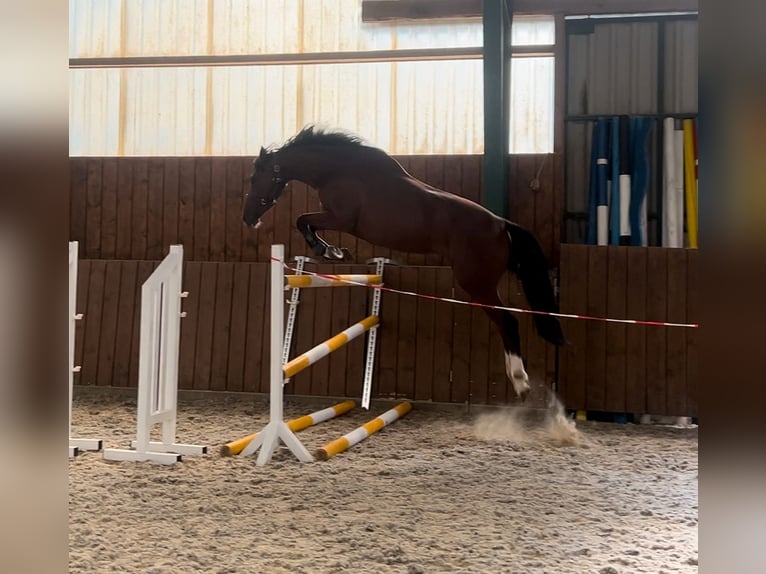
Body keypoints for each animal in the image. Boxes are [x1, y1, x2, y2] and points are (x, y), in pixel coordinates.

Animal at [243, 126, 568, 400]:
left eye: (255, 179)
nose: (248, 218)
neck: (338, 170)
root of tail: (502, 225)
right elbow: (305, 222)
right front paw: (333, 251)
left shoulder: (341, 218)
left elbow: (303, 221)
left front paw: (327, 251)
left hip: (477, 284)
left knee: (508, 321)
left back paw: (520, 382)